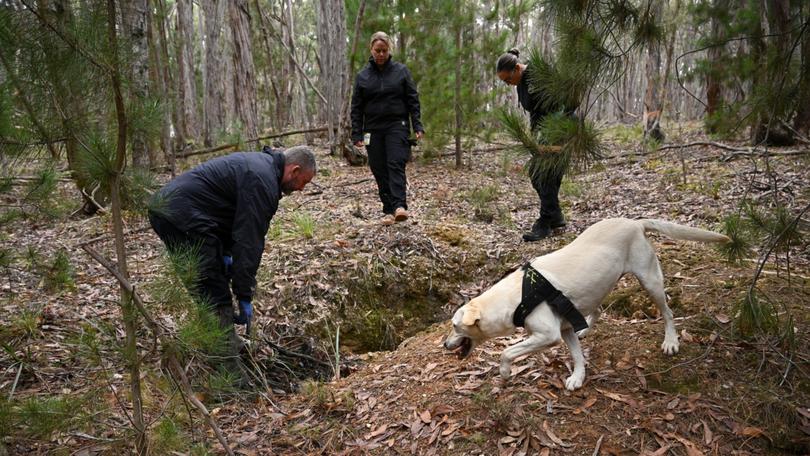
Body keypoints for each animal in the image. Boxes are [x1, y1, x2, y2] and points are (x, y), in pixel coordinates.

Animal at [442, 219, 724, 390]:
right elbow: (577, 355)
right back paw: (585, 328)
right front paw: (578, 377)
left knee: (667, 312)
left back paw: (671, 340)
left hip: (650, 281)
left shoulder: (549, 335)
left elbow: (507, 352)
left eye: (455, 326)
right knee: (596, 310)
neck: (517, 297)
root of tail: (634, 222)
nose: (444, 345)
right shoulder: (565, 329)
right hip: (593, 292)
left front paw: (504, 372)